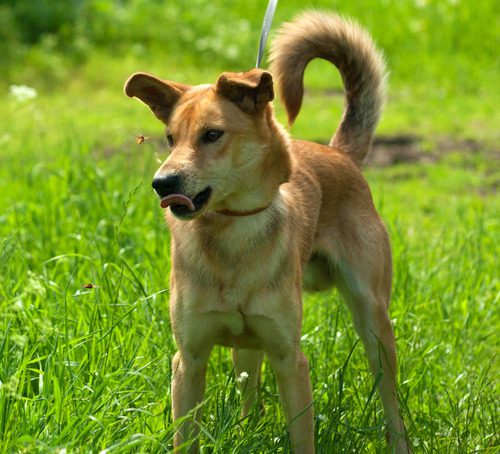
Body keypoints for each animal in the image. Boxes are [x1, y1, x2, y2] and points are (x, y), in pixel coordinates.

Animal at [125, 11, 410, 454]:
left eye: (212, 134)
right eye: (171, 138)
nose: (162, 183)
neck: (232, 231)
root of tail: (339, 154)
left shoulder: (290, 359)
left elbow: (302, 435)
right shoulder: (188, 360)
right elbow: (186, 435)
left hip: (374, 320)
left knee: (390, 396)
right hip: (246, 347)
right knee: (249, 397)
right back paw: (247, 430)